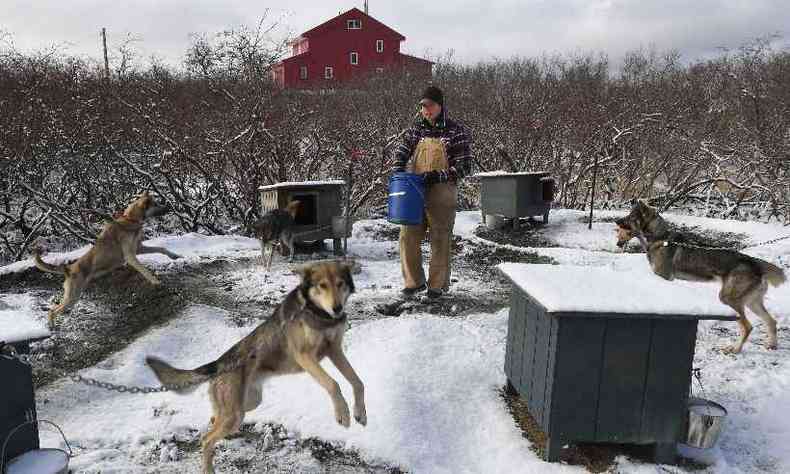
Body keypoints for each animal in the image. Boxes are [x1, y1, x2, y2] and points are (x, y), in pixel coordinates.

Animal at [33, 191, 180, 328]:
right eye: (156, 204)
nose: (168, 207)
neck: (130, 220)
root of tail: (69, 268)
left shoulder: (139, 248)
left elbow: (161, 249)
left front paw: (175, 256)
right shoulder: (130, 256)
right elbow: (145, 270)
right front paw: (156, 281)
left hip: (74, 297)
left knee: (56, 309)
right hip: (72, 297)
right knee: (52, 311)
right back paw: (51, 326)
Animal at [145, 262, 368, 472]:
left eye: (340, 284)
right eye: (322, 286)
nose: (337, 308)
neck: (319, 314)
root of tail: (218, 364)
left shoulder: (334, 351)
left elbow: (358, 382)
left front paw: (360, 413)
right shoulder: (304, 356)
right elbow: (333, 384)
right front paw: (343, 415)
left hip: (247, 405)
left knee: (213, 420)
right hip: (235, 413)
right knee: (206, 439)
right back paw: (208, 468)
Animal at [616, 199, 788, 352]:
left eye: (630, 218)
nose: (617, 221)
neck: (660, 238)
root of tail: (755, 263)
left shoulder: (664, 277)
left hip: (728, 299)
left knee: (748, 327)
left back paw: (735, 349)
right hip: (752, 303)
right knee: (771, 322)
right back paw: (772, 345)